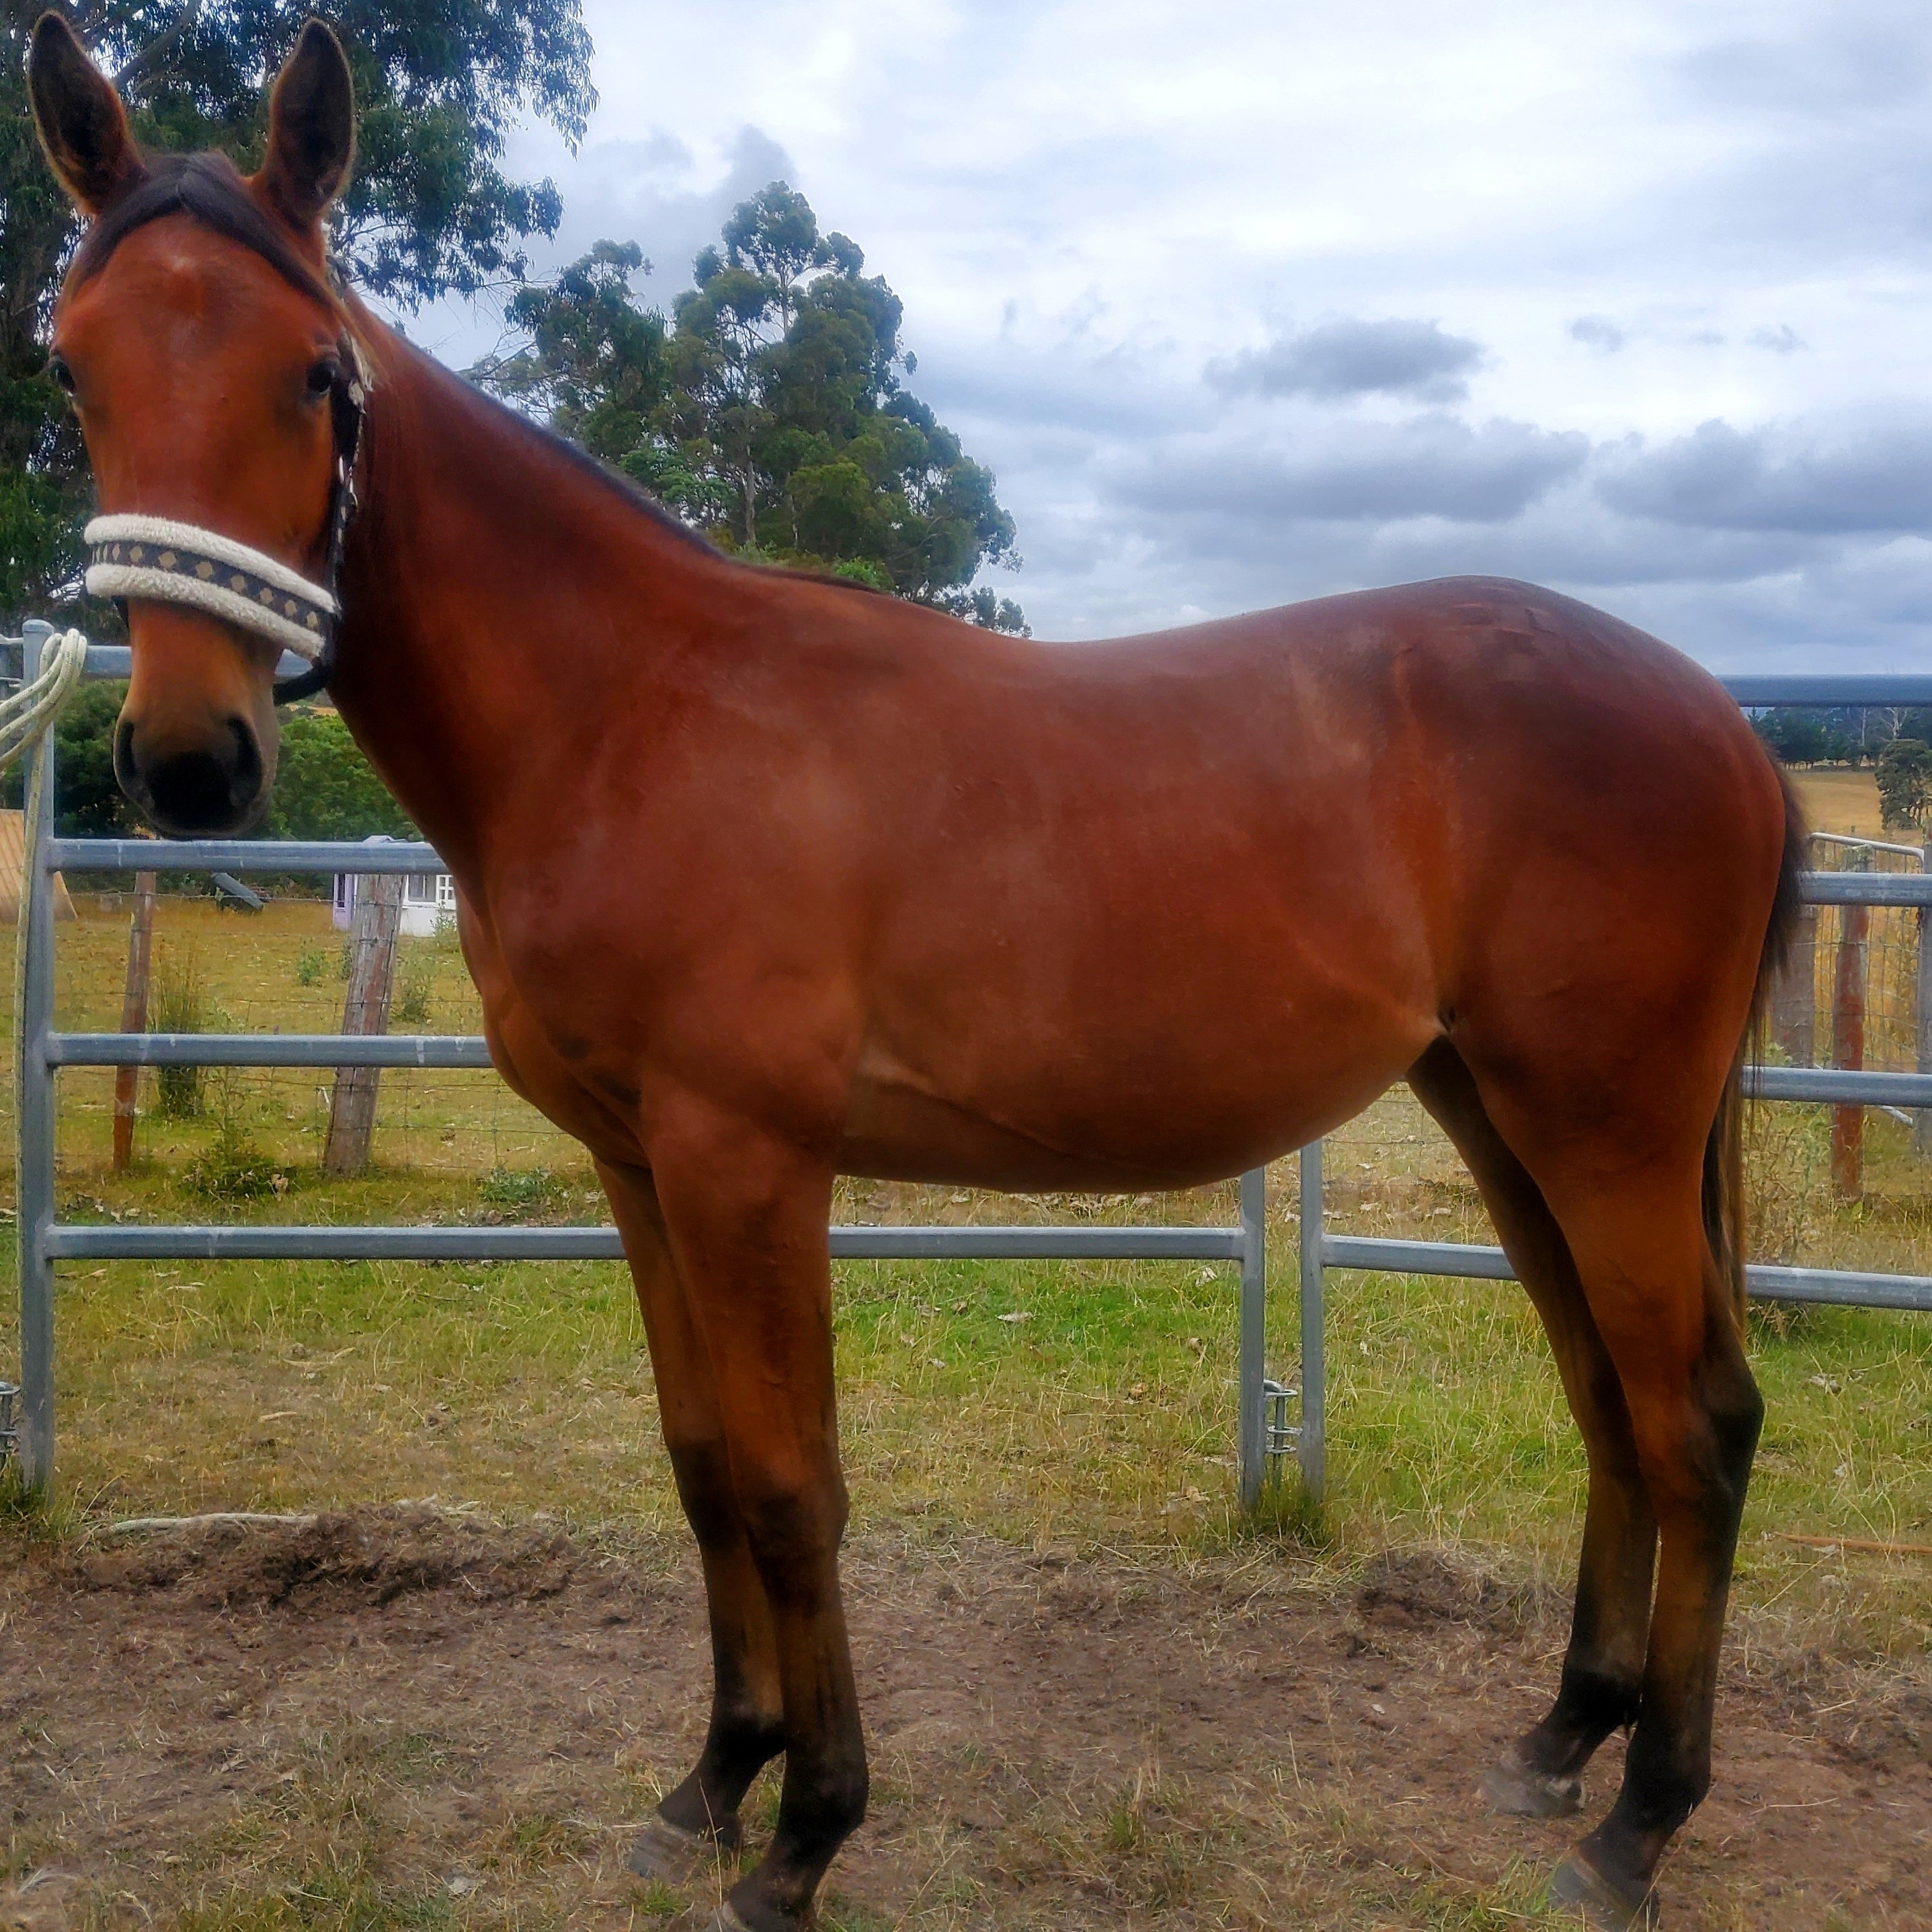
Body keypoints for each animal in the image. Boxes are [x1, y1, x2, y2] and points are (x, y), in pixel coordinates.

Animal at [28, 17, 1802, 1929]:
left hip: (1606, 1130)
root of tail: (1722, 720)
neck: (626, 712)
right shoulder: (638, 1162)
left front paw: (806, 1833)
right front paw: (711, 1781)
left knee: (1695, 1424)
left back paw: (1638, 1822)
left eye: (309, 374)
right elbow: (702, 1466)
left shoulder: (746, 1161)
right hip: (1499, 1111)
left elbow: (791, 1485)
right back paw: (1560, 1744)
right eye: (73, 370)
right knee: (1609, 1405)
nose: (188, 758)